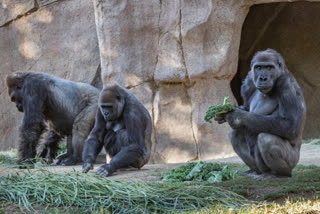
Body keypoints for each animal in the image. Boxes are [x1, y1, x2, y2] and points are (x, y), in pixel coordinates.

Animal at [216, 49, 306, 179]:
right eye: (258, 67)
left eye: (269, 67)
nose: (263, 78)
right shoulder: (249, 81)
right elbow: (246, 108)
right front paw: (224, 111)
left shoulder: (286, 84)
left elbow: (290, 124)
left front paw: (237, 116)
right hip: (259, 168)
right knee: (236, 133)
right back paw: (254, 171)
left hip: (294, 161)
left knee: (266, 139)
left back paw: (279, 174)